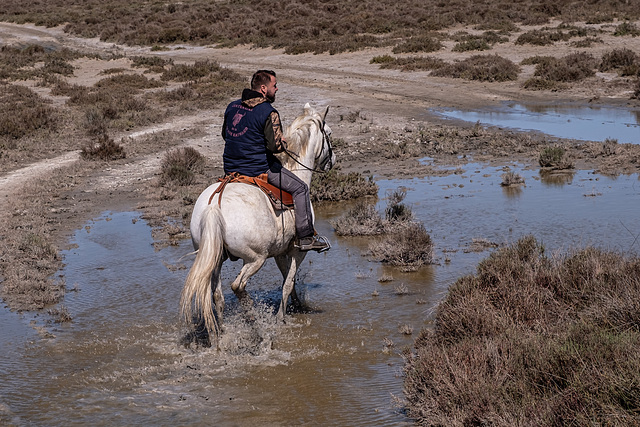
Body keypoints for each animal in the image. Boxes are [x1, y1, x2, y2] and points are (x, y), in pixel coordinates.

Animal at [178, 103, 332, 348]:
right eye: (329, 134)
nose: (331, 163)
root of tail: (214, 207)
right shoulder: (298, 251)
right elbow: (288, 282)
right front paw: (281, 317)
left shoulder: (280, 252)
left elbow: (287, 279)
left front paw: (296, 306)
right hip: (255, 259)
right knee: (237, 286)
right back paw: (253, 322)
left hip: (216, 258)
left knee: (217, 295)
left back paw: (221, 334)